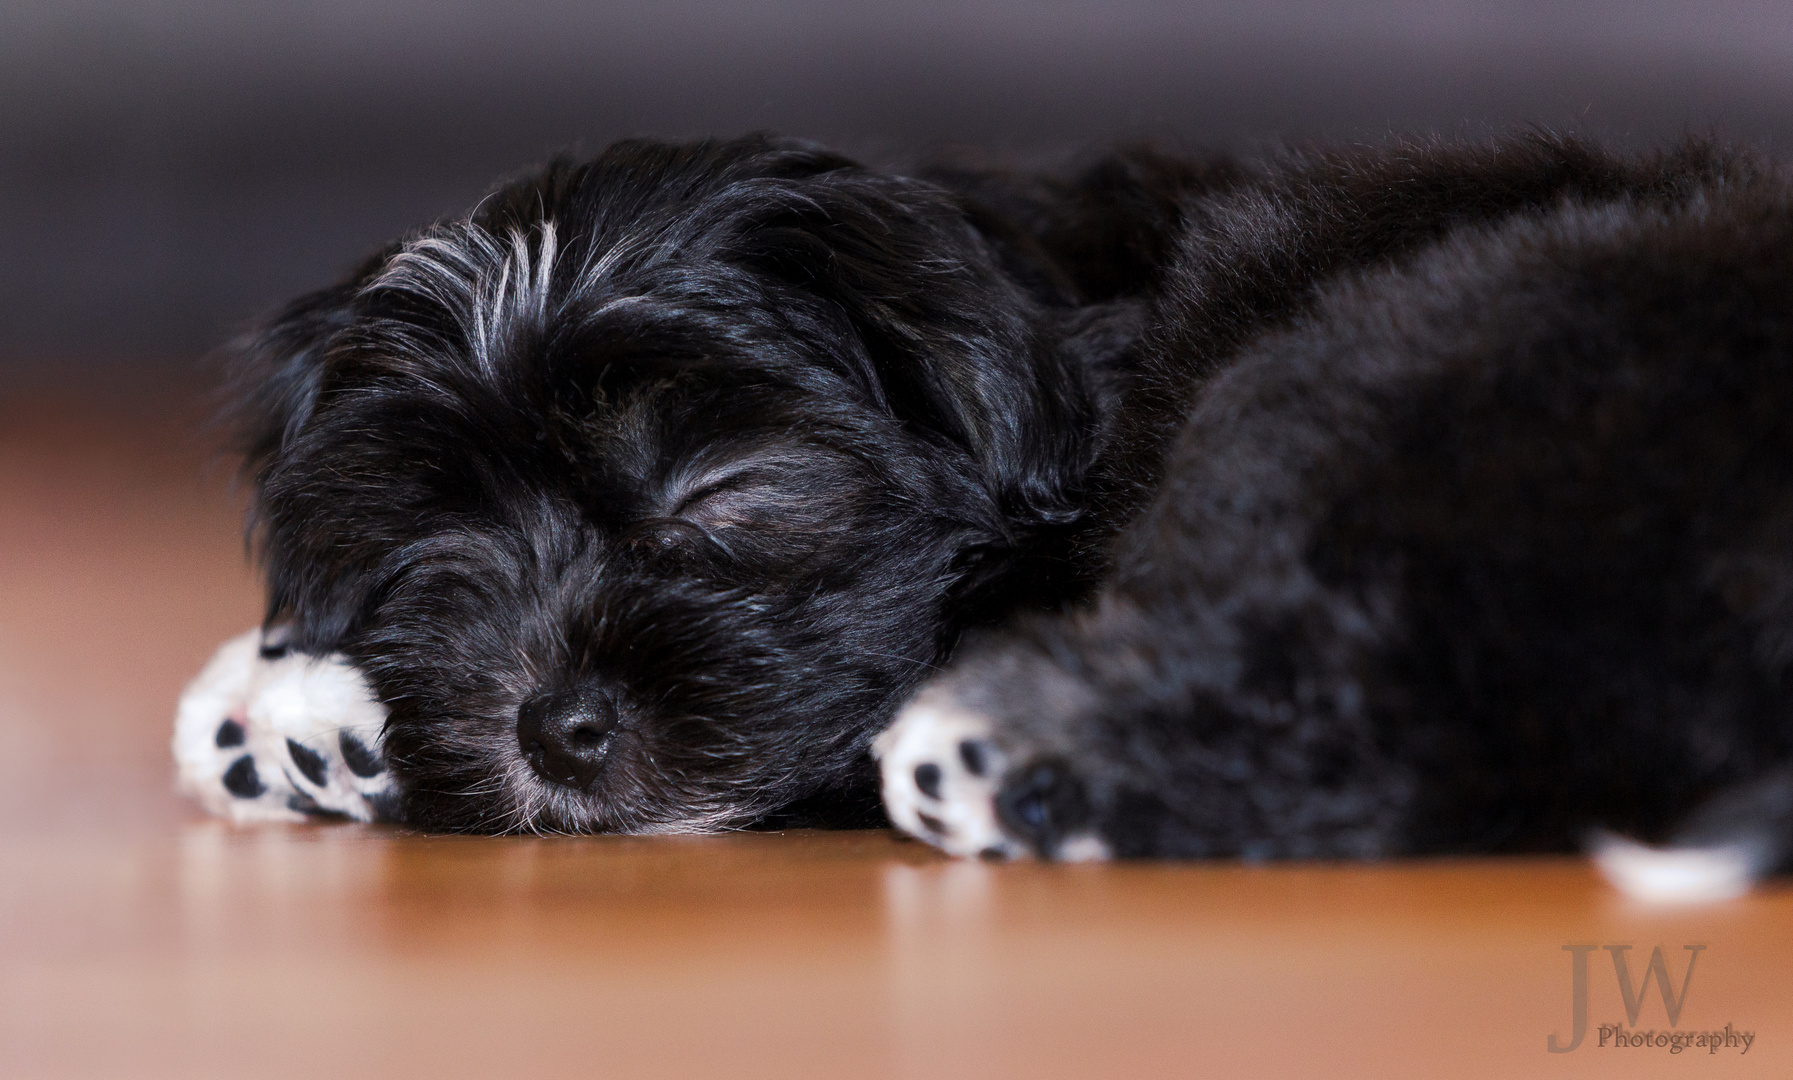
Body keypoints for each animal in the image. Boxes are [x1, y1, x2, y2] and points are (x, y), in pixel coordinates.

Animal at [178, 132, 1793, 889]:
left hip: (1411, 369)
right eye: (430, 543)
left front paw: (293, 707)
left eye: (719, 490)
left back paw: (1016, 758)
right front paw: (307, 706)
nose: (552, 727)